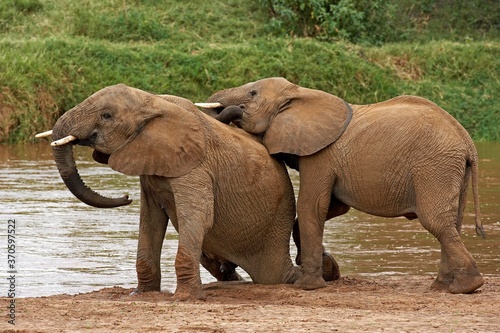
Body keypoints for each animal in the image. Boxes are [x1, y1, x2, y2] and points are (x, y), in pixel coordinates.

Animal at [200, 77, 488, 294]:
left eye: (252, 92)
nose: (225, 268)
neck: (300, 93)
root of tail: (467, 141)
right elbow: (333, 208)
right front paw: (326, 268)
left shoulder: (320, 155)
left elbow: (312, 206)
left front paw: (308, 286)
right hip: (449, 169)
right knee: (451, 224)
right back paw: (441, 286)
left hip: (435, 167)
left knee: (436, 222)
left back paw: (464, 287)